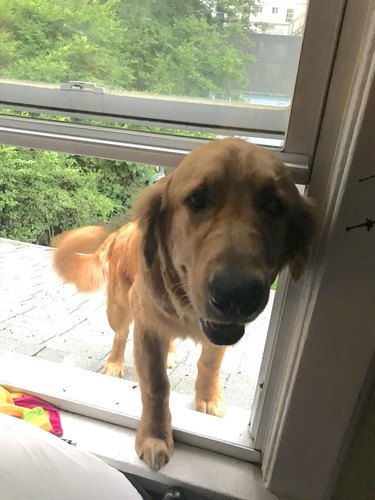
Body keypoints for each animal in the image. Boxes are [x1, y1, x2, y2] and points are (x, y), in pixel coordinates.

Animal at [53, 139, 314, 470]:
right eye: (196, 199)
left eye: (274, 205)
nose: (237, 294)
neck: (185, 305)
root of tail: (122, 231)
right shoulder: (147, 326)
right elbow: (155, 384)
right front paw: (155, 435)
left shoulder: (219, 333)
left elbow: (210, 364)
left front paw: (209, 398)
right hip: (119, 309)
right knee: (121, 334)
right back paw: (114, 362)